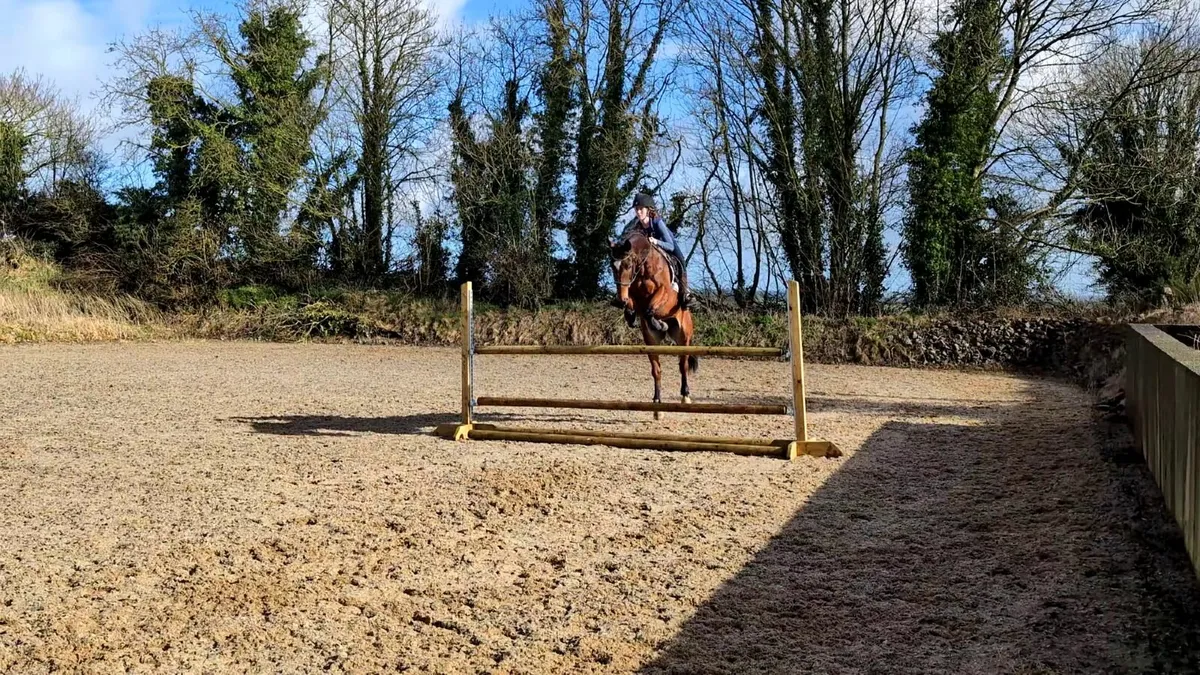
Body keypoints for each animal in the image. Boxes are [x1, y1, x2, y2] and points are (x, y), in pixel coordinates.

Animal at [609, 232, 698, 419]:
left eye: (628, 265)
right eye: (612, 267)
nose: (619, 300)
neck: (643, 268)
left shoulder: (664, 291)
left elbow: (651, 309)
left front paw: (659, 323)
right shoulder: (634, 296)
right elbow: (638, 307)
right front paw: (631, 315)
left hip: (684, 337)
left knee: (683, 365)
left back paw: (685, 396)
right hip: (651, 341)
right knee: (657, 370)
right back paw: (657, 405)